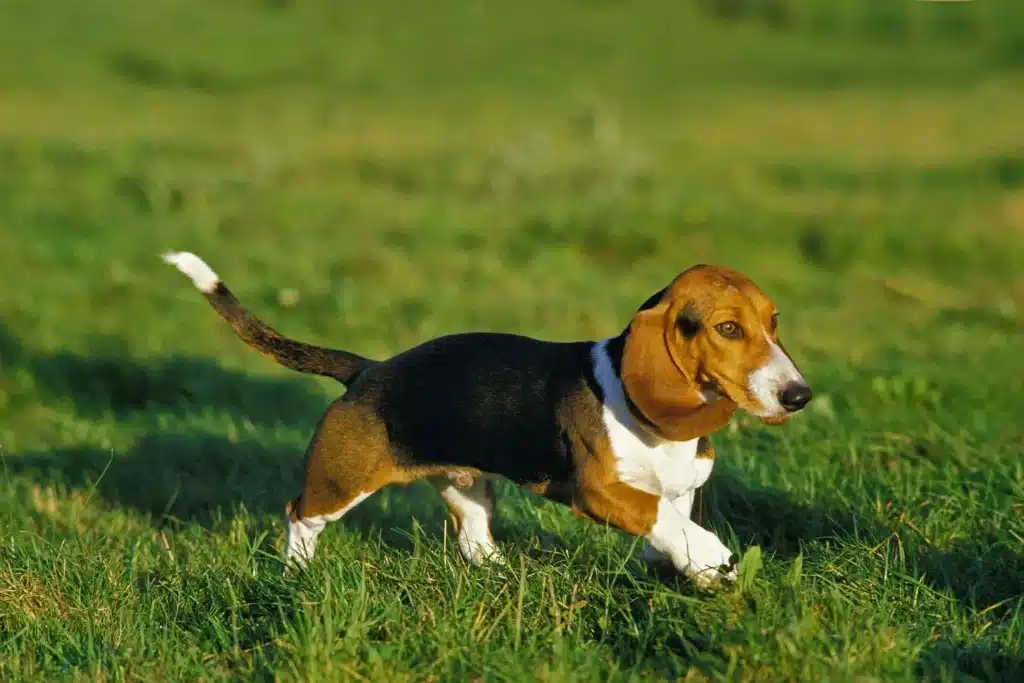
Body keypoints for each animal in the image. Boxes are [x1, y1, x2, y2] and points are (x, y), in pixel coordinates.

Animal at [163, 252, 811, 589]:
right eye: (727, 328)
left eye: (774, 322)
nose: (799, 395)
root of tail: (369, 371)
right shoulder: (601, 491)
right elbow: (663, 518)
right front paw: (710, 556)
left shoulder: (682, 488)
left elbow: (672, 522)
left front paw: (691, 566)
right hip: (341, 480)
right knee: (301, 515)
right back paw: (296, 570)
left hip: (469, 484)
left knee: (474, 541)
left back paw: (508, 571)